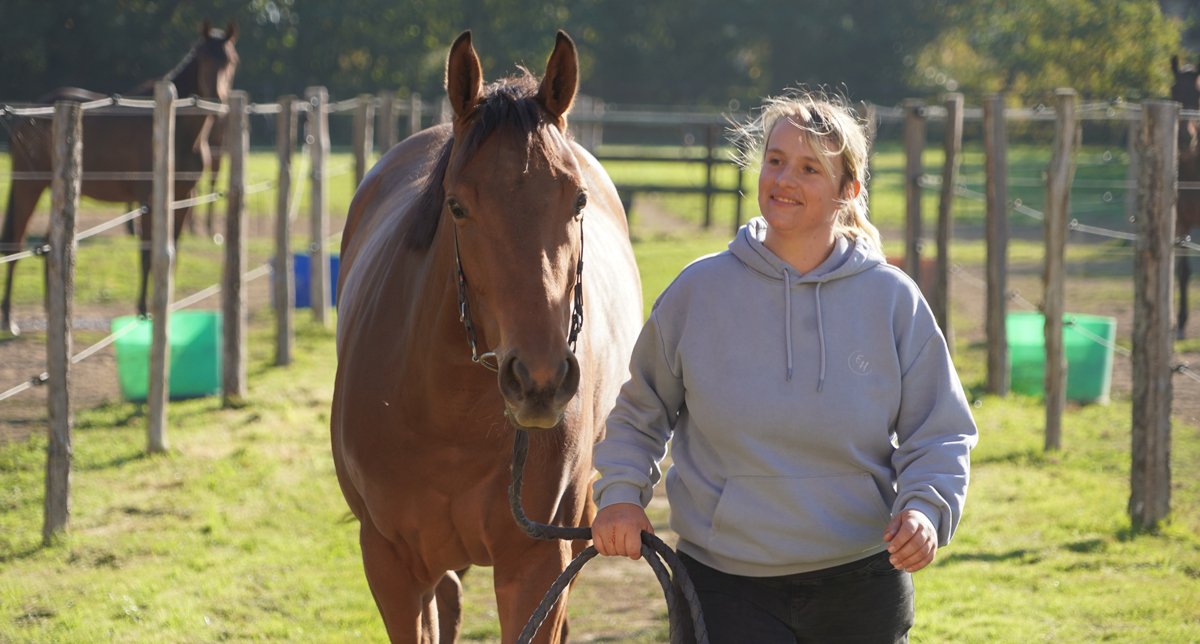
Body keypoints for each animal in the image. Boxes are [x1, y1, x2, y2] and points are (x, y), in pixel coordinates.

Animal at [0, 20, 238, 337]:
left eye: (232, 60)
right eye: (205, 58)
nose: (218, 100)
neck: (176, 130)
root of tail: (29, 113)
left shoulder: (183, 198)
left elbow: (172, 253)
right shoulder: (150, 201)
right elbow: (149, 255)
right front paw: (144, 312)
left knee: (50, 246)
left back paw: (53, 314)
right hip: (29, 184)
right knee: (15, 241)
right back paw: (9, 320)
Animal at [331, 31, 642, 642]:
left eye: (577, 200)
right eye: (457, 206)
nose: (539, 380)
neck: (447, 416)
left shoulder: (537, 563)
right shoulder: (390, 564)